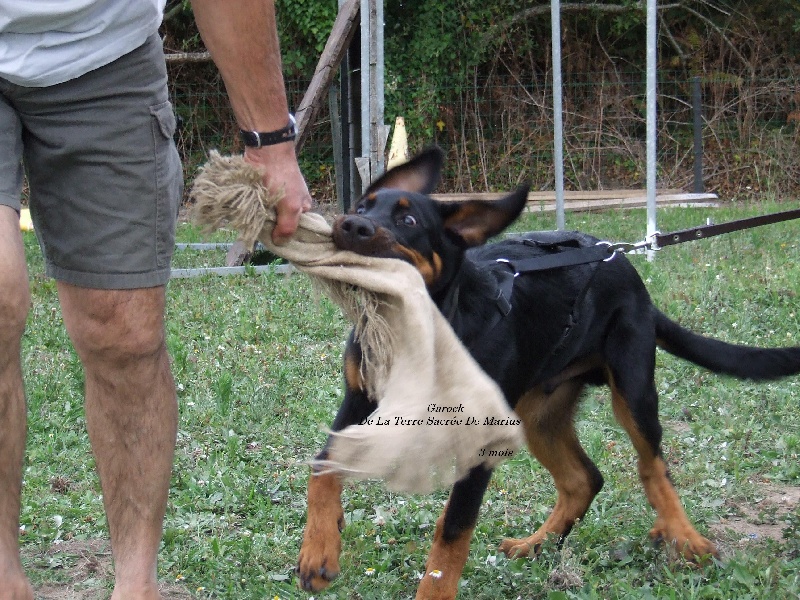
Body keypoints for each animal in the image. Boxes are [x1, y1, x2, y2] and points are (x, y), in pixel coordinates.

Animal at [296, 148, 800, 596]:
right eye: (362, 206)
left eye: (409, 222)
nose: (351, 224)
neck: (414, 327)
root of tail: (622, 260)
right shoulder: (359, 400)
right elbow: (323, 465)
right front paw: (319, 552)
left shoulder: (477, 439)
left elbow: (453, 532)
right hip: (540, 412)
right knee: (584, 479)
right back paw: (535, 545)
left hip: (632, 388)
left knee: (652, 465)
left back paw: (685, 537)